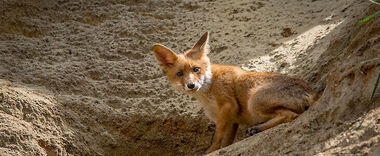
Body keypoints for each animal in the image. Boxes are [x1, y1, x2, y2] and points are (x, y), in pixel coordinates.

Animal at [151, 32, 314, 154]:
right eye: (179, 74)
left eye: (196, 69)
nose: (191, 85)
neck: (208, 92)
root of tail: (310, 92)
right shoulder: (232, 121)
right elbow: (226, 143)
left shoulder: (229, 106)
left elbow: (217, 137)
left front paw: (210, 150)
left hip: (253, 101)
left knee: (290, 115)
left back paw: (258, 128)